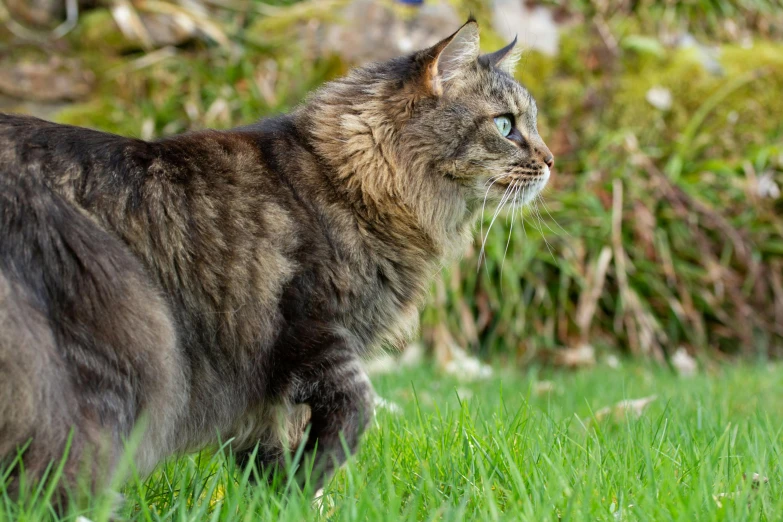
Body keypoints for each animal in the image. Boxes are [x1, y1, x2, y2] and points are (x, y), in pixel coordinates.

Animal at [0, 19, 556, 504]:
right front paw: (306, 486)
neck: (347, 185)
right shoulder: (312, 330)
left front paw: (281, 500)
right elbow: (355, 414)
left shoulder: (272, 384)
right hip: (130, 332)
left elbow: (269, 453)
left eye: (530, 124)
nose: (551, 160)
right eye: (506, 126)